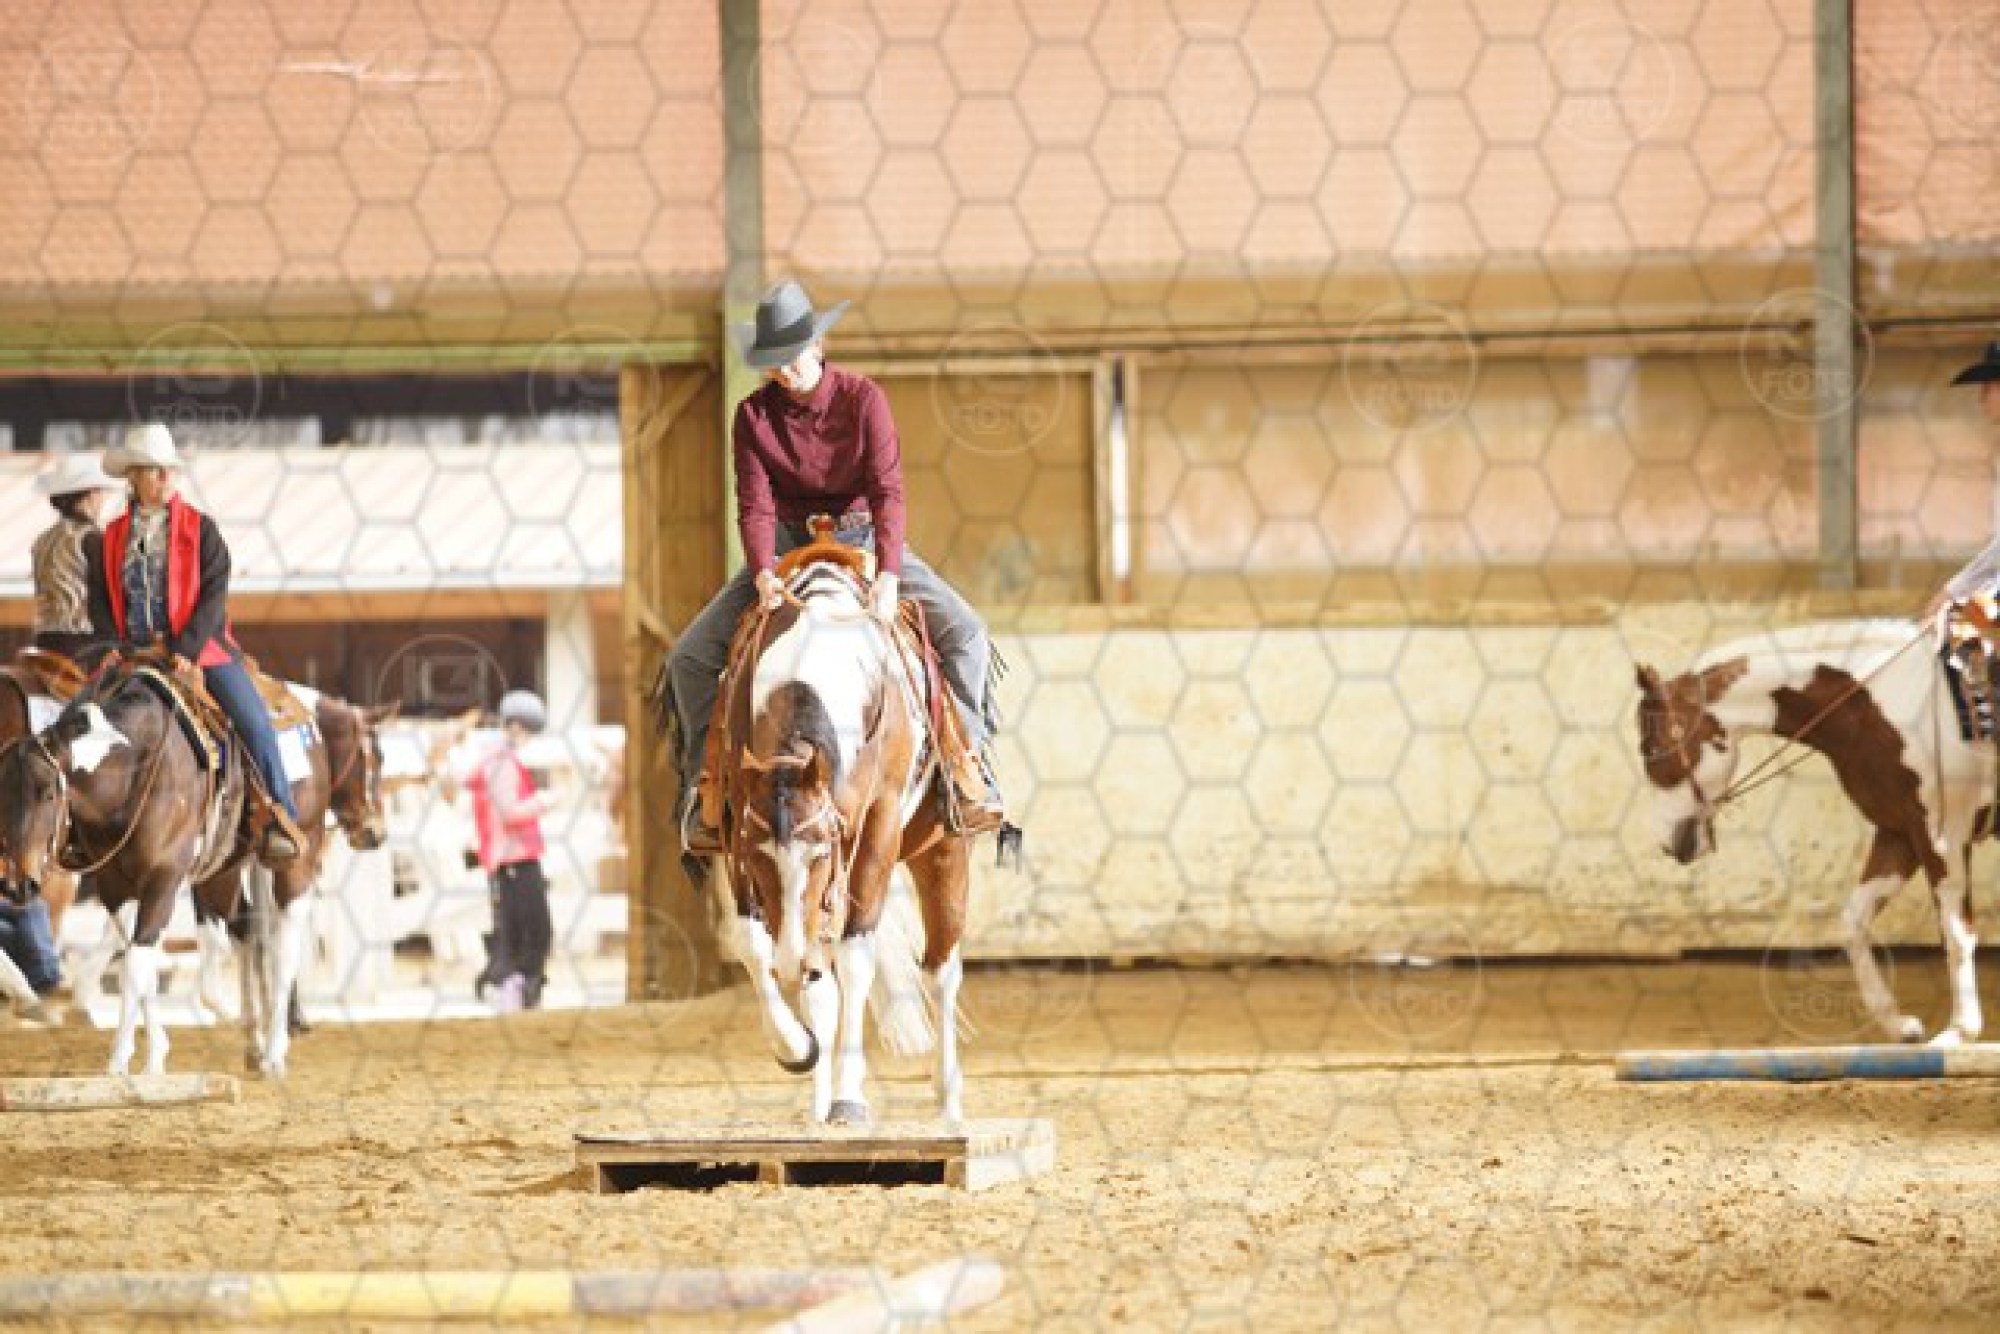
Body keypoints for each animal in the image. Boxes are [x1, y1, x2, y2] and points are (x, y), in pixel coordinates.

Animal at [714, 554, 971, 1125]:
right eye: (757, 860)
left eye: (819, 852)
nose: (791, 960)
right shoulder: (737, 827)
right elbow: (753, 945)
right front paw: (796, 1048)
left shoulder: (877, 826)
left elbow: (856, 960)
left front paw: (850, 1097)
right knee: (820, 980)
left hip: (941, 849)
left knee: (941, 971)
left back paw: (947, 1098)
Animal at [1633, 620, 1995, 1046]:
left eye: (1651, 749)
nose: (1666, 842)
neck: (1891, 702)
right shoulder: (1900, 833)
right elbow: (1853, 921)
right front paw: (1896, 1022)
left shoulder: (1943, 835)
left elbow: (1955, 931)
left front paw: (1960, 1030)